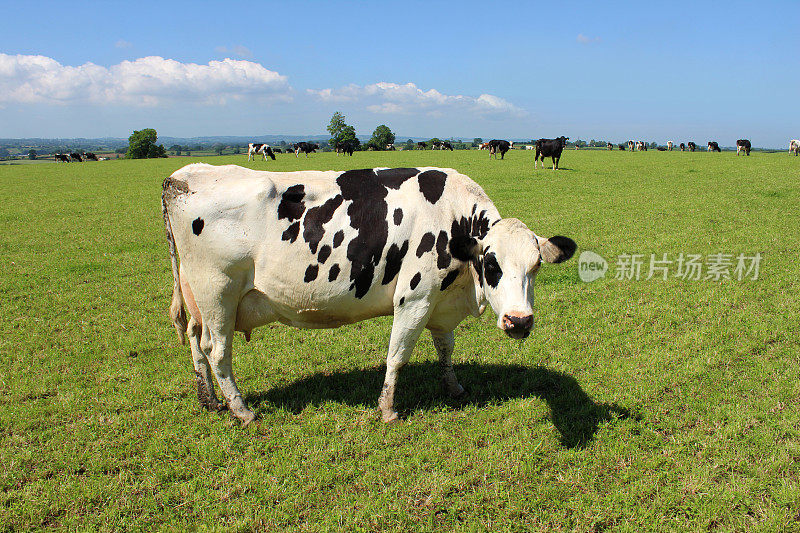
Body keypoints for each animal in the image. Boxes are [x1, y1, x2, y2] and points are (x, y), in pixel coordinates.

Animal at [161, 164, 576, 426]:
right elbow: (397, 356)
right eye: (491, 264)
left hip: (198, 298)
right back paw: (242, 411)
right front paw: (388, 410)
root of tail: (181, 176)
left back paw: (209, 400)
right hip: (219, 292)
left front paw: (454, 387)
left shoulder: (440, 302)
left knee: (196, 342)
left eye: (536, 265)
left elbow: (445, 348)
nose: (519, 321)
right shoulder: (415, 298)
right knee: (217, 350)